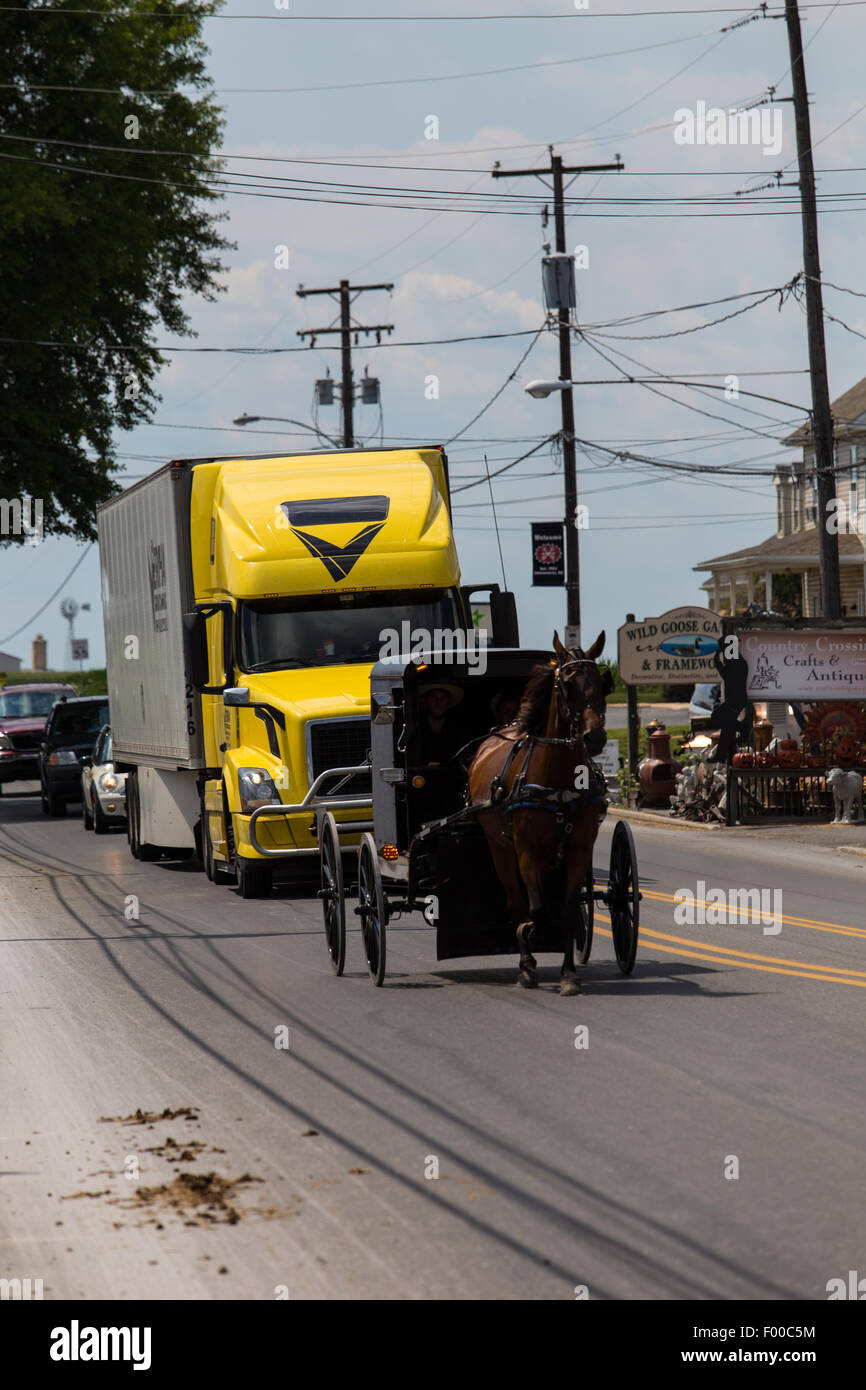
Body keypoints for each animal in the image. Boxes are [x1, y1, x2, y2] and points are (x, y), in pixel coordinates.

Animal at [467, 631, 608, 1000]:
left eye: (601, 680)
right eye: (567, 684)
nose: (595, 736)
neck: (557, 782)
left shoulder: (578, 849)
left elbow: (567, 910)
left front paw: (569, 974)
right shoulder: (526, 851)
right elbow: (537, 911)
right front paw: (528, 948)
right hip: (500, 849)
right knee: (516, 902)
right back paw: (525, 961)